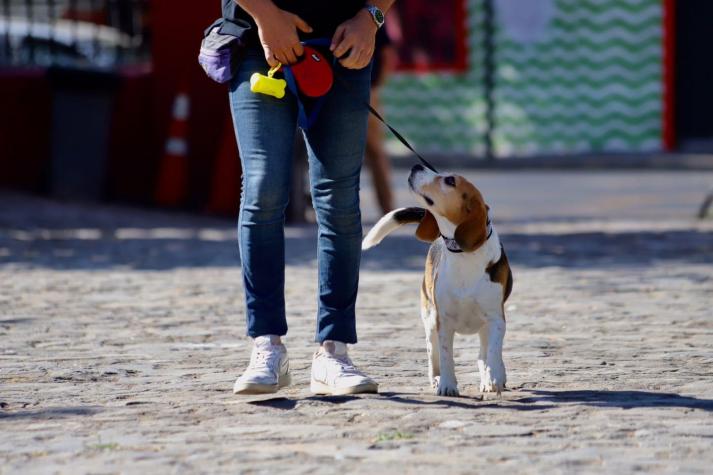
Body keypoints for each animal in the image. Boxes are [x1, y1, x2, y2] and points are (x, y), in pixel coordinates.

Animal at [364, 165, 508, 396]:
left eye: (450, 181)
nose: (416, 166)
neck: (463, 255)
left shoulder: (496, 319)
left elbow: (494, 351)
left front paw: (494, 376)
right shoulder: (444, 321)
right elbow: (446, 355)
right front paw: (448, 385)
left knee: (483, 353)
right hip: (430, 319)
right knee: (434, 355)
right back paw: (438, 379)